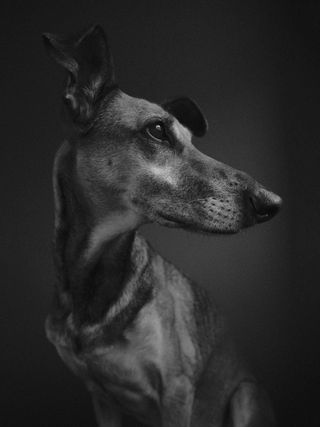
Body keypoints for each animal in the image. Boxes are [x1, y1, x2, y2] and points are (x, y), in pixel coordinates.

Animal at [43, 25, 282, 426]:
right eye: (157, 130)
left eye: (192, 139)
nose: (272, 203)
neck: (95, 278)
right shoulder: (101, 398)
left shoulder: (176, 391)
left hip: (246, 395)